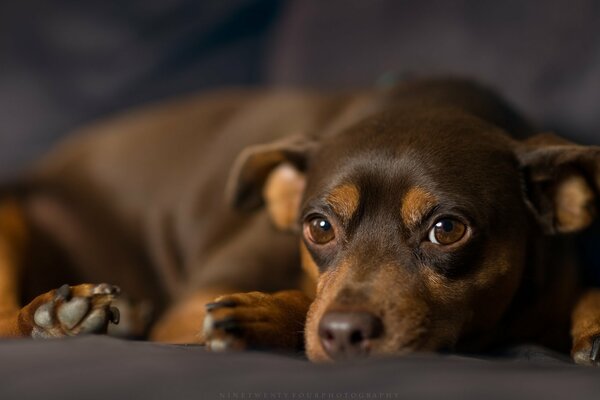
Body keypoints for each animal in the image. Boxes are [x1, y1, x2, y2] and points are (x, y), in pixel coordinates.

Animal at [1, 78, 600, 366]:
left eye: (447, 230)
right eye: (319, 227)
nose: (345, 332)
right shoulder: (190, 311)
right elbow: (301, 305)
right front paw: (262, 314)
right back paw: (53, 317)